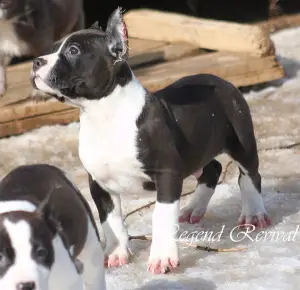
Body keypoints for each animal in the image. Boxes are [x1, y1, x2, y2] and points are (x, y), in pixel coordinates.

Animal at [30, 6, 272, 274]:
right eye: (53, 48)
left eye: (73, 51)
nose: (36, 61)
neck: (102, 113)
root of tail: (221, 80)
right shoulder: (99, 183)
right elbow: (110, 220)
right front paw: (116, 253)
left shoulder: (167, 175)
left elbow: (161, 217)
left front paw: (162, 258)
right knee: (213, 168)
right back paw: (193, 209)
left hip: (240, 140)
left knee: (249, 176)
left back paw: (253, 214)